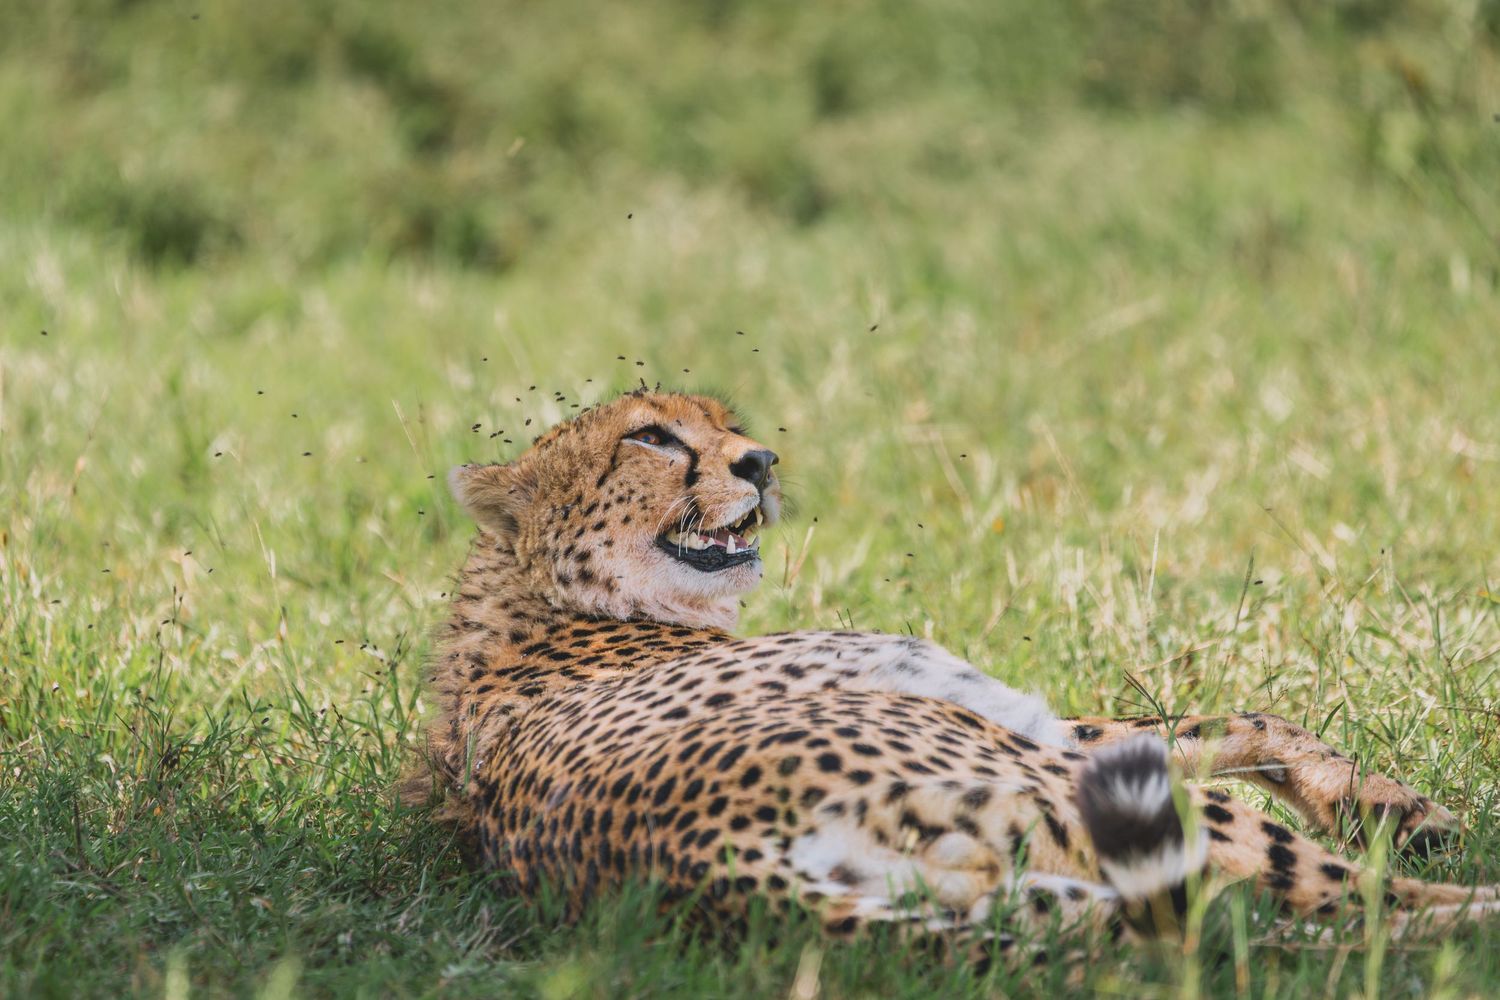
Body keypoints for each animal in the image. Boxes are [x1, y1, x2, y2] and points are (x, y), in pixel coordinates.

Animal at [404, 388, 1498, 960]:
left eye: (724, 418)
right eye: (651, 435)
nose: (760, 461)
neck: (557, 601)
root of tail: (707, 858)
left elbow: (1227, 721)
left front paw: (1387, 803)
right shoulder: (1026, 728)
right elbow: (1224, 725)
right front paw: (1395, 808)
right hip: (1056, 795)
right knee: (1352, 910)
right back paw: (1473, 918)